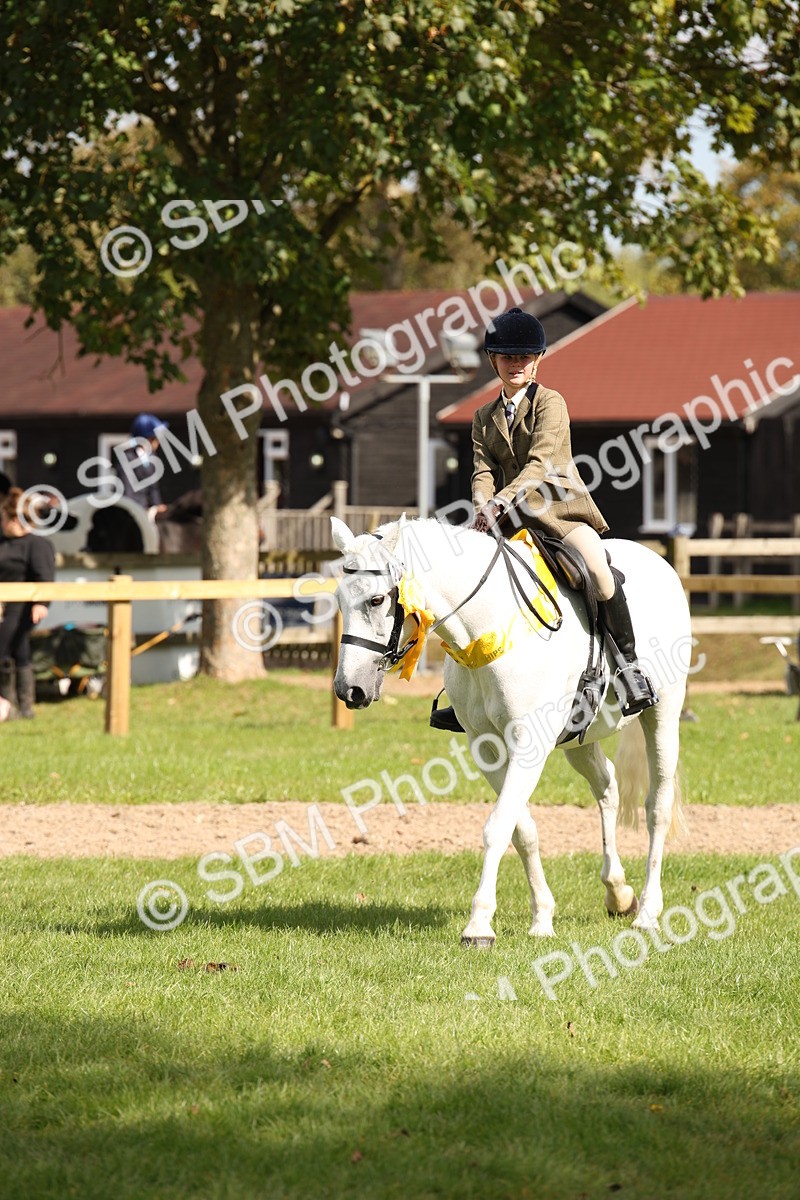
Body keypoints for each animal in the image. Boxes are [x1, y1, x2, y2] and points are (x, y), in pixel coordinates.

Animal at [331, 515, 691, 945]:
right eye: (339, 600)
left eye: (376, 601)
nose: (348, 689)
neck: (488, 626)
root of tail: (659, 562)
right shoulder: (486, 749)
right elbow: (523, 831)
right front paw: (542, 917)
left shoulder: (528, 745)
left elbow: (498, 827)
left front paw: (479, 925)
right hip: (580, 741)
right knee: (608, 787)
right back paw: (618, 894)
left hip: (663, 716)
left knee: (657, 807)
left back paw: (649, 913)